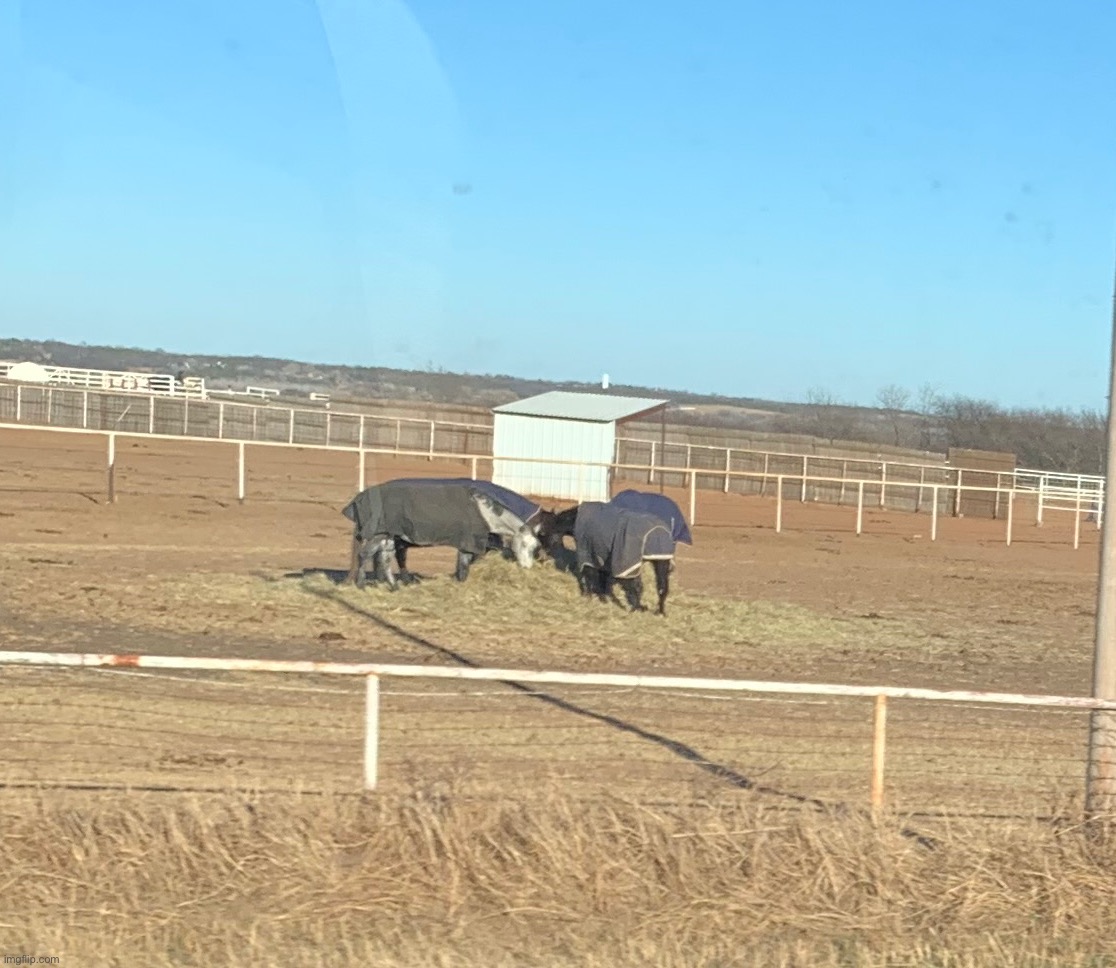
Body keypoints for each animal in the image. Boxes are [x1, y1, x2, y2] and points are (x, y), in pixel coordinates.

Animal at [341, 479, 542, 589]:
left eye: (535, 547)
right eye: (524, 545)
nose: (527, 567)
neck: (483, 510)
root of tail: (361, 497)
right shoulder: (467, 544)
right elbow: (463, 568)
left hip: (388, 537)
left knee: (383, 559)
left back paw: (393, 585)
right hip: (381, 535)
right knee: (366, 555)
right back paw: (362, 584)